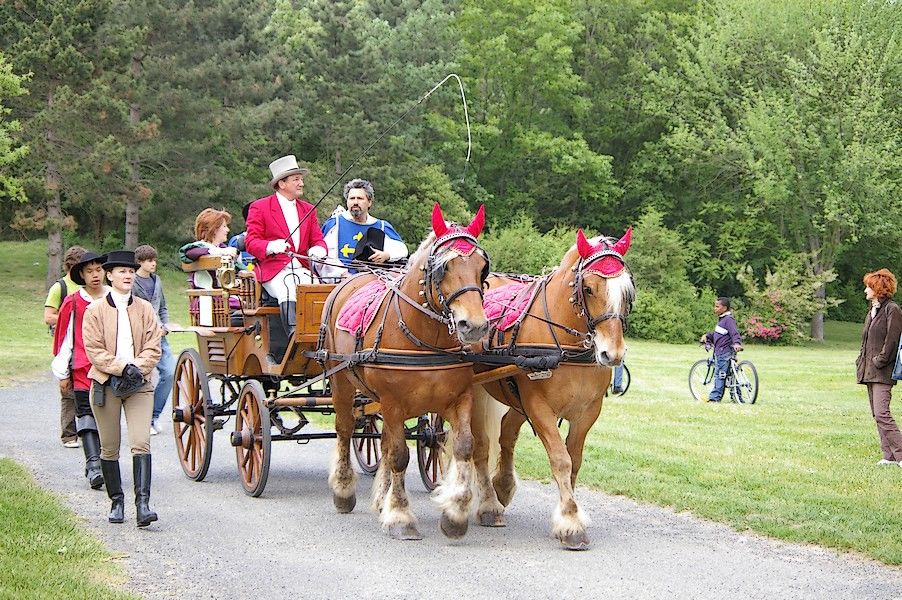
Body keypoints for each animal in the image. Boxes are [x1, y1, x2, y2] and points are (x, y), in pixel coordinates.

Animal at [324, 204, 490, 540]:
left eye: (482, 267)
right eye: (444, 267)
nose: (475, 326)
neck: (426, 341)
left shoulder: (459, 398)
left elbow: (463, 446)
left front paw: (455, 512)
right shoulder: (393, 403)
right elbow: (400, 455)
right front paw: (400, 515)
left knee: (384, 443)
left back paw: (380, 498)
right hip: (341, 381)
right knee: (345, 428)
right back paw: (344, 490)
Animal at [474, 227, 636, 552]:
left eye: (627, 291)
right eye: (588, 288)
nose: (612, 354)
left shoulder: (588, 412)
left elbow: (574, 461)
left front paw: (569, 511)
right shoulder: (539, 407)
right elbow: (561, 459)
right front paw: (571, 524)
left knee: (506, 431)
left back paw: (503, 487)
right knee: (479, 444)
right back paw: (487, 503)